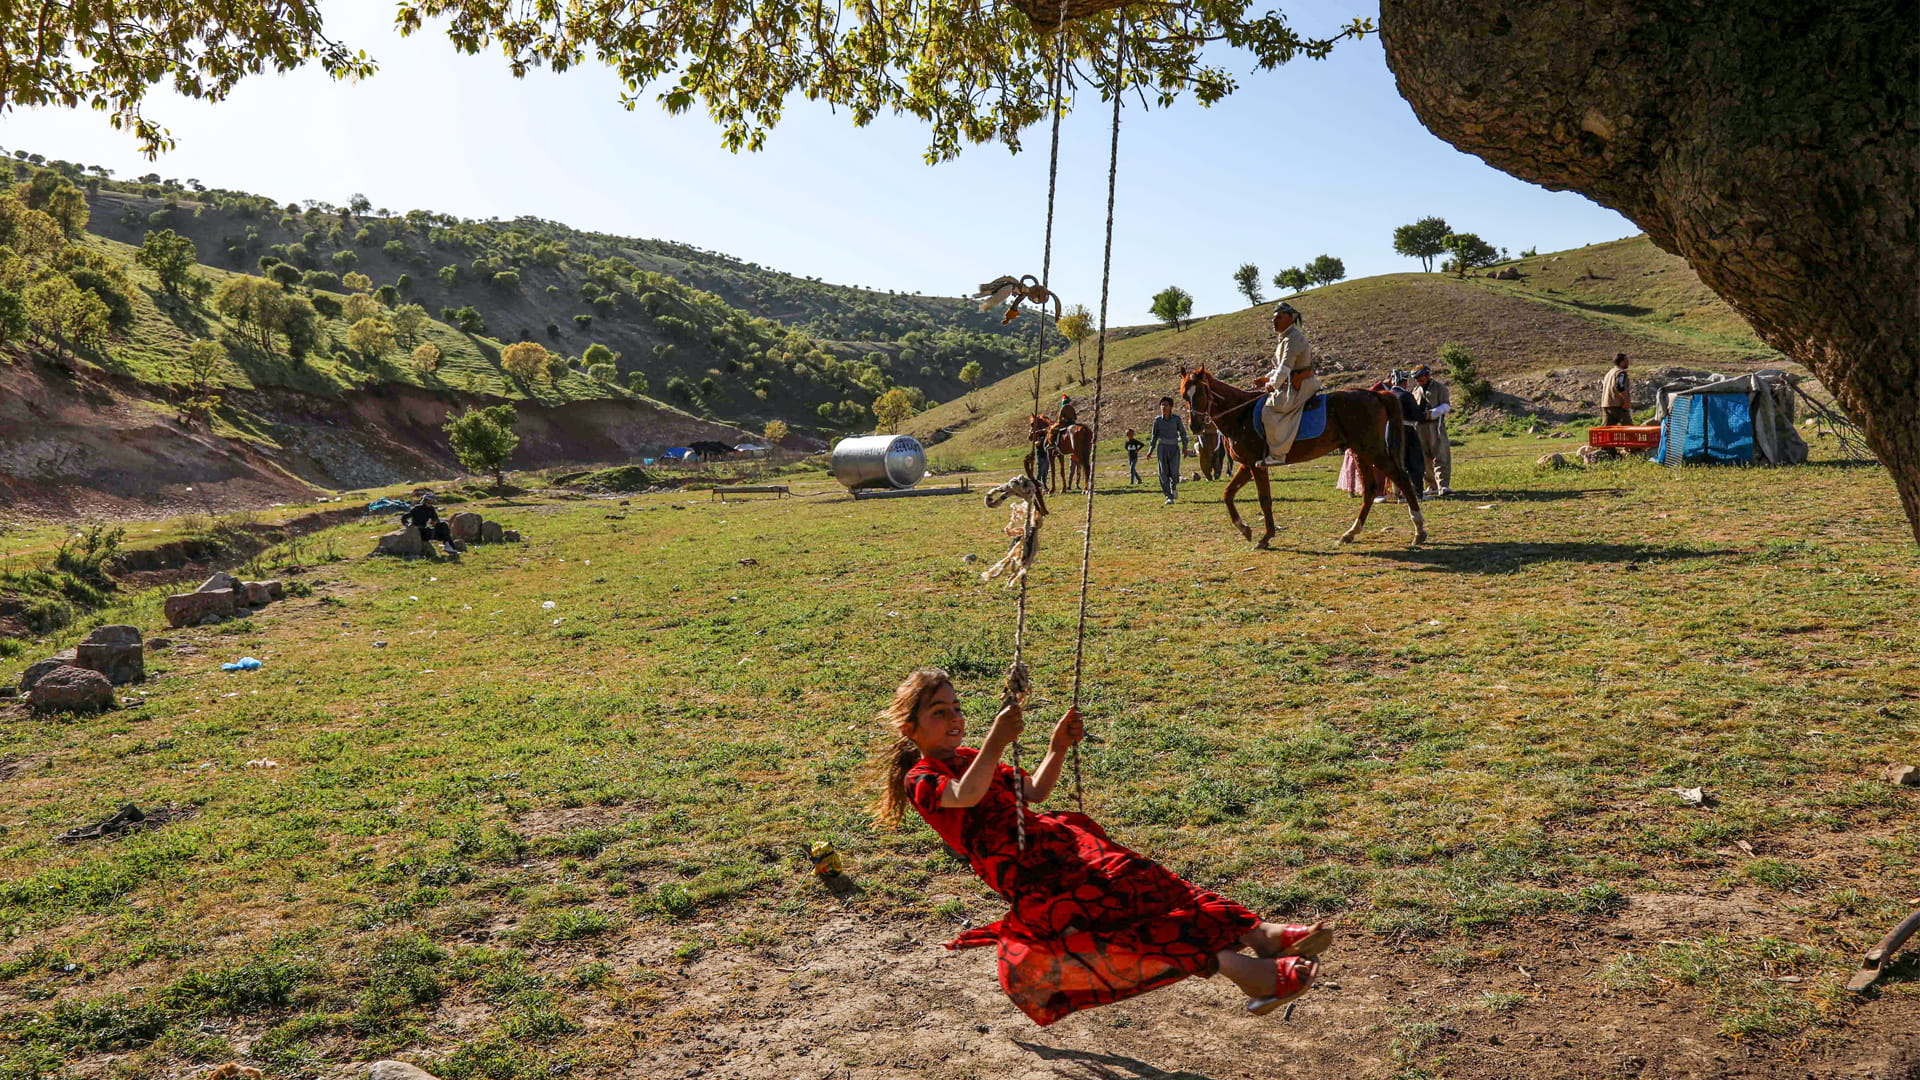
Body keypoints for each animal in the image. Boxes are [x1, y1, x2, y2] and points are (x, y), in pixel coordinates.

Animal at [1167, 365, 1428, 545]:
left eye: (1201, 392)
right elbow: (1228, 494)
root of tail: (1375, 394)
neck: (1241, 413)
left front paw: (1266, 537)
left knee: (1402, 478)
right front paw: (1245, 529)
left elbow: (1264, 499)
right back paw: (1350, 533)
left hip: (1372, 450)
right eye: (1184, 395)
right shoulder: (1247, 465)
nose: (1195, 426)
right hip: (1360, 451)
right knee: (1371, 489)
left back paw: (1419, 530)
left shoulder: (1257, 465)